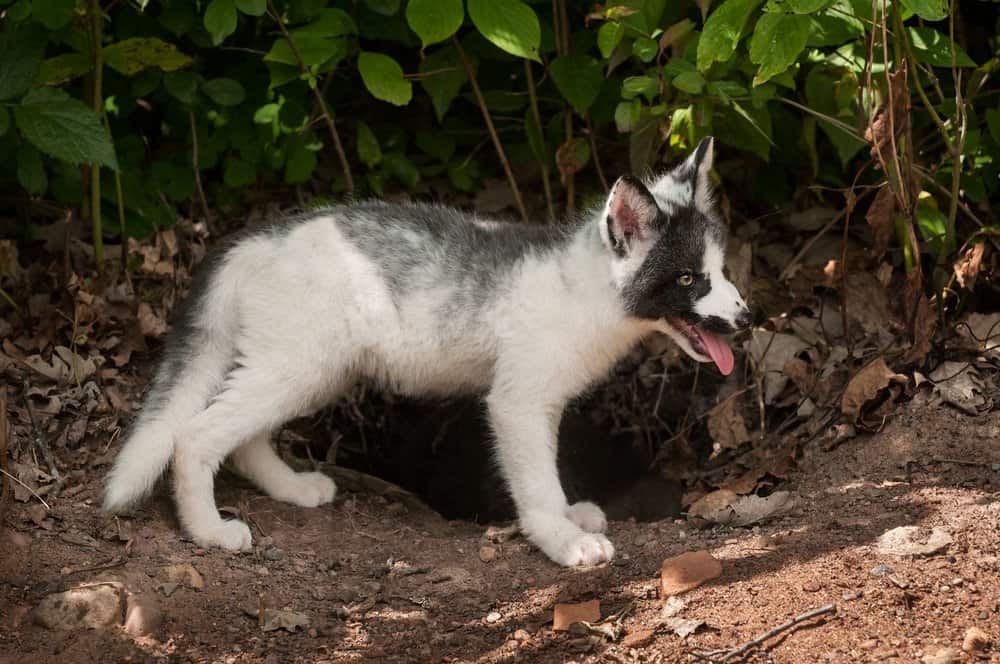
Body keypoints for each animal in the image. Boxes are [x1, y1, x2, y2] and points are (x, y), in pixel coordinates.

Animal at [103, 137, 752, 568]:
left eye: (721, 271)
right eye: (687, 280)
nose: (747, 320)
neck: (584, 290)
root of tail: (257, 237)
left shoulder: (539, 405)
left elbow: (550, 476)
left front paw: (570, 519)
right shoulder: (515, 403)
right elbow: (536, 484)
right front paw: (563, 540)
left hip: (309, 371)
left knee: (243, 439)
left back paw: (294, 490)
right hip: (298, 367)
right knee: (195, 436)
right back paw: (209, 532)